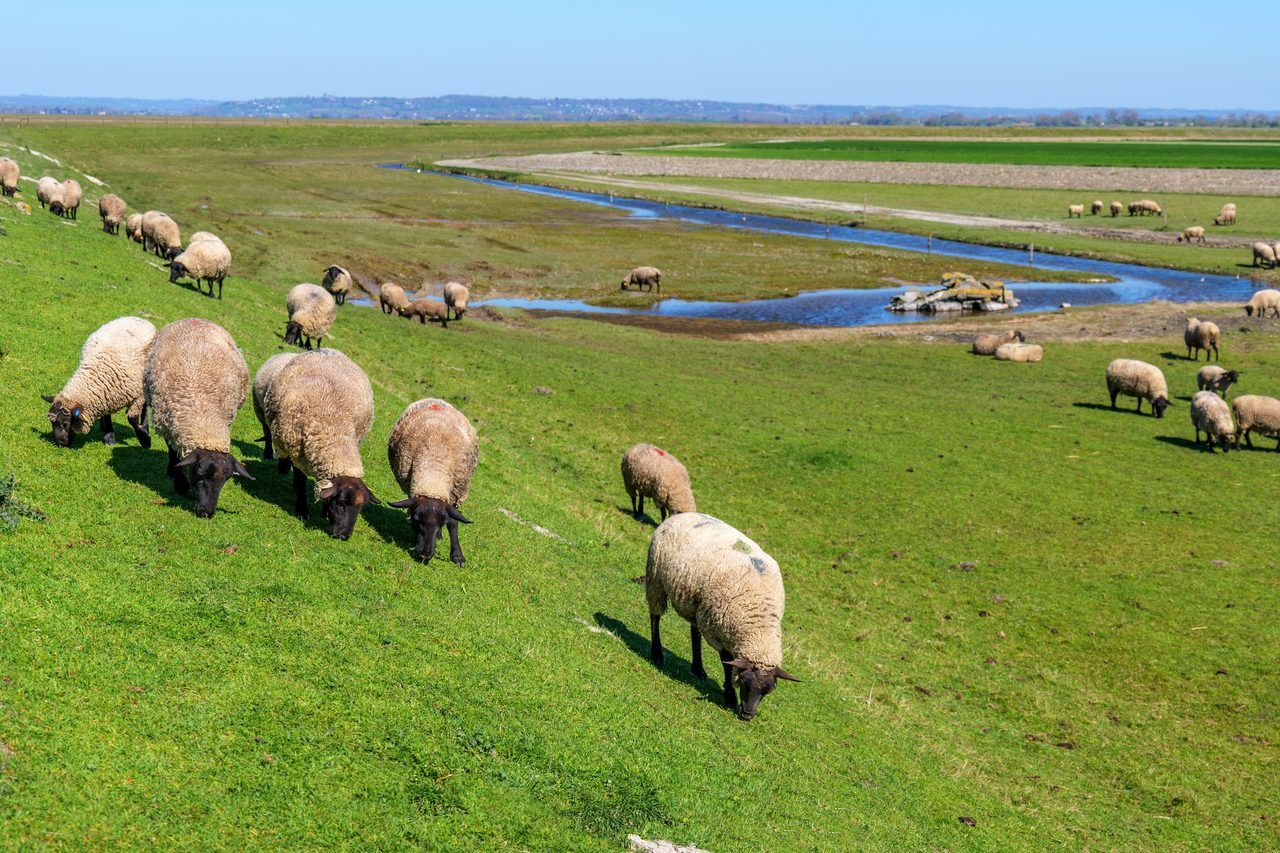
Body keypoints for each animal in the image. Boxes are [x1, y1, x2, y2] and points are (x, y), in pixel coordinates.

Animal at [42, 316, 156, 448]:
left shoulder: (137, 396)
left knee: (145, 407)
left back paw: (145, 427)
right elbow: (107, 415)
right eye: (52, 423)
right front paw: (109, 437)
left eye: (65, 423)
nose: (60, 444)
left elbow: (132, 419)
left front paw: (145, 440)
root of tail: (136, 318)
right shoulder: (105, 394)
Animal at [143, 318, 252, 518]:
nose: (206, 512)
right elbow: (174, 455)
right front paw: (180, 484)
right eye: (200, 474)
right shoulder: (169, 425)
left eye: (226, 480)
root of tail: (197, 319)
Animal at [264, 348, 378, 539]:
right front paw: (302, 510)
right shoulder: (298, 454)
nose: (343, 536)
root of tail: (332, 350)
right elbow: (300, 482)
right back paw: (283, 466)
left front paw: (324, 512)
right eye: (341, 503)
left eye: (360, 509)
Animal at [386, 398, 478, 565]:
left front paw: (457, 556)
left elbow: (453, 523)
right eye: (417, 521)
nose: (425, 555)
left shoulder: (453, 496)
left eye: (441, 523)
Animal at [645, 512, 798, 721]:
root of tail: (684, 514)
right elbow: (727, 662)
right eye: (744, 683)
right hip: (656, 578)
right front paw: (730, 697)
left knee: (694, 631)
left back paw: (698, 669)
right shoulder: (717, 631)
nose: (747, 715)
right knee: (655, 616)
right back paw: (657, 653)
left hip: (699, 605)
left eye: (767, 691)